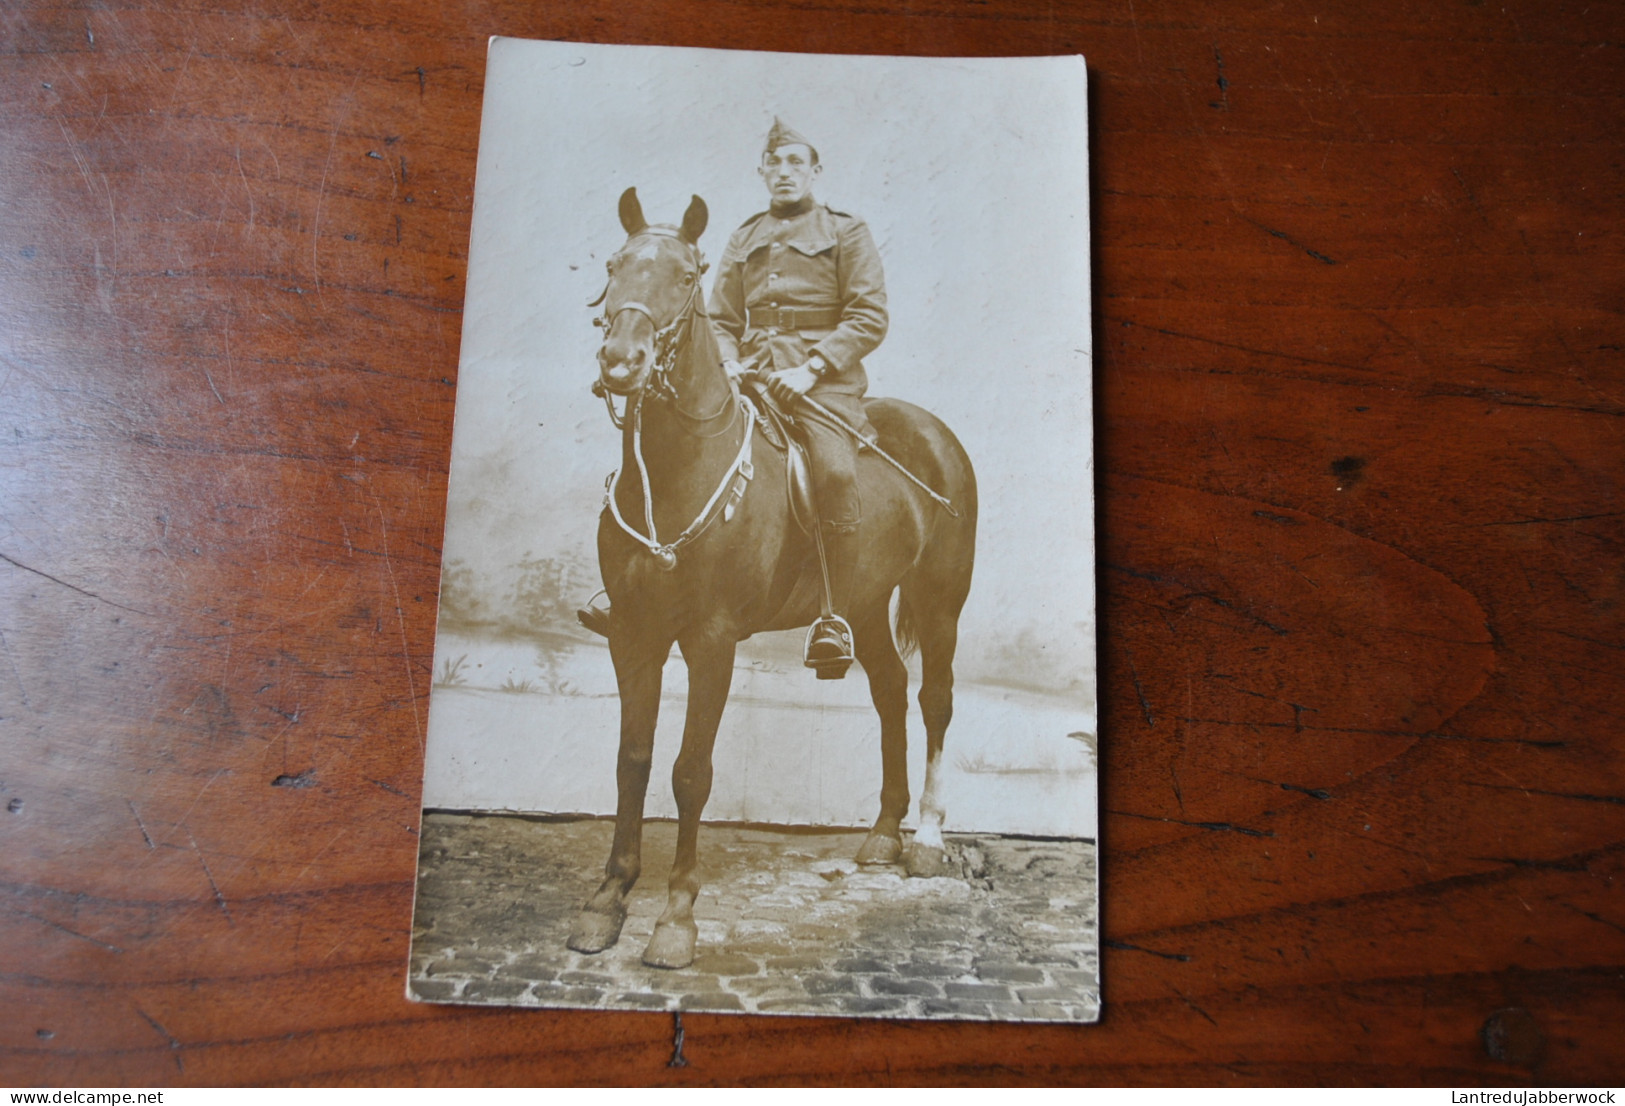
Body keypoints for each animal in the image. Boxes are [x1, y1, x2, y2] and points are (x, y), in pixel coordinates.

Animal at [572, 190, 975, 967]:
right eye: (612, 266)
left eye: (686, 275)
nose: (621, 361)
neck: (676, 469)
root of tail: (936, 433)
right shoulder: (633, 635)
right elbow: (631, 760)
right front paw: (608, 899)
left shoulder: (711, 642)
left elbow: (689, 772)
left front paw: (675, 918)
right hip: (864, 603)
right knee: (888, 691)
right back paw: (883, 831)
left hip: (940, 603)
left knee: (933, 700)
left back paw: (928, 837)